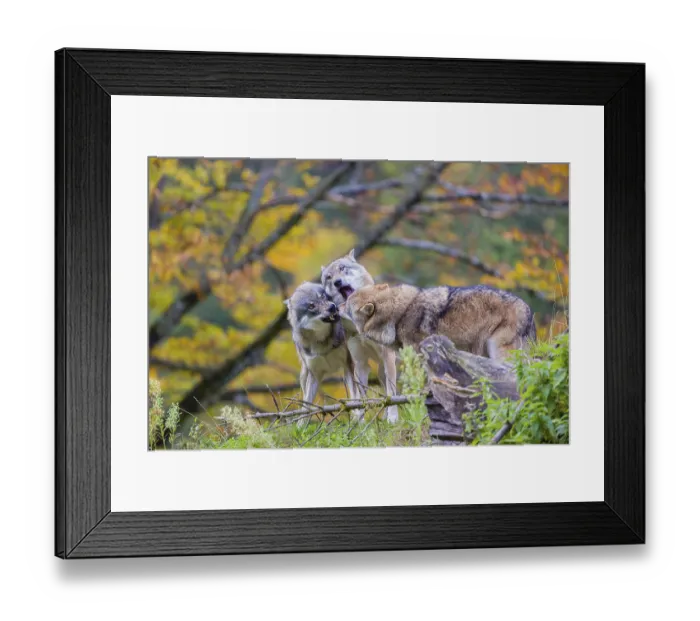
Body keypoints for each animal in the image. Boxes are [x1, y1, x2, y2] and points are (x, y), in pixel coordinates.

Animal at [284, 282, 358, 413]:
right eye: (311, 306)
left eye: (323, 297)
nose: (332, 307)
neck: (321, 342)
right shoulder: (314, 374)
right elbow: (306, 408)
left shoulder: (348, 365)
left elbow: (355, 399)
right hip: (304, 376)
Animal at [321, 250, 399, 423]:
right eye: (329, 277)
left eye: (342, 268)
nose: (337, 282)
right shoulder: (360, 363)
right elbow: (362, 397)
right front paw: (361, 422)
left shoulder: (388, 356)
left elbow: (392, 393)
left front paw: (393, 419)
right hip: (374, 370)